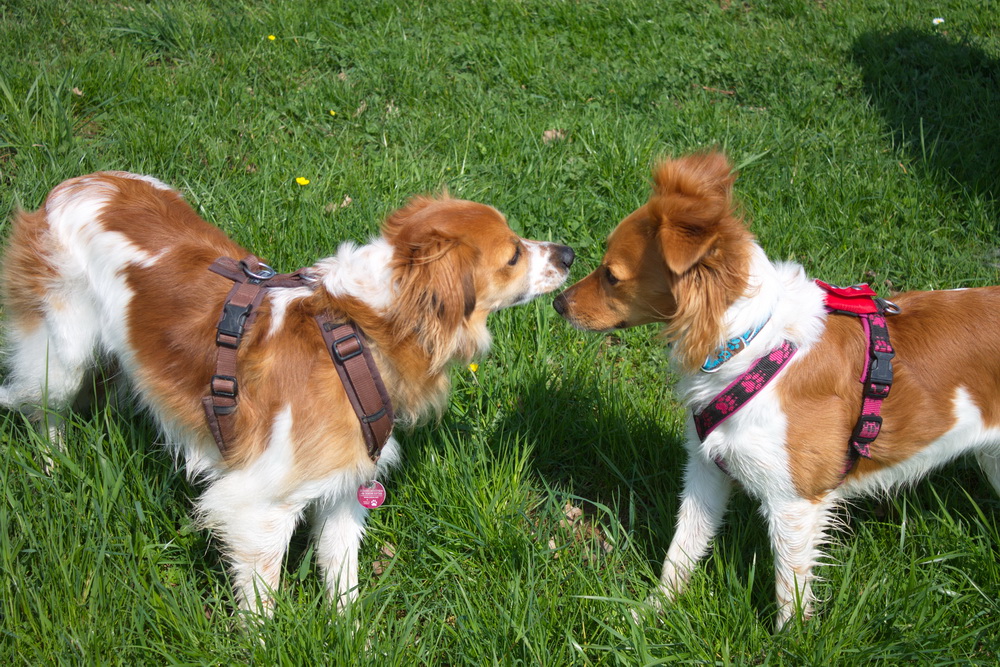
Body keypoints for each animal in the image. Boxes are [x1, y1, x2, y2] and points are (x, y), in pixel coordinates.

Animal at [552, 150, 1000, 628]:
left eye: (612, 276)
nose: (558, 302)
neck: (751, 346)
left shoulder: (795, 502)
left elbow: (791, 590)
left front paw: (790, 639)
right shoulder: (707, 469)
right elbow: (682, 549)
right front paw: (650, 613)